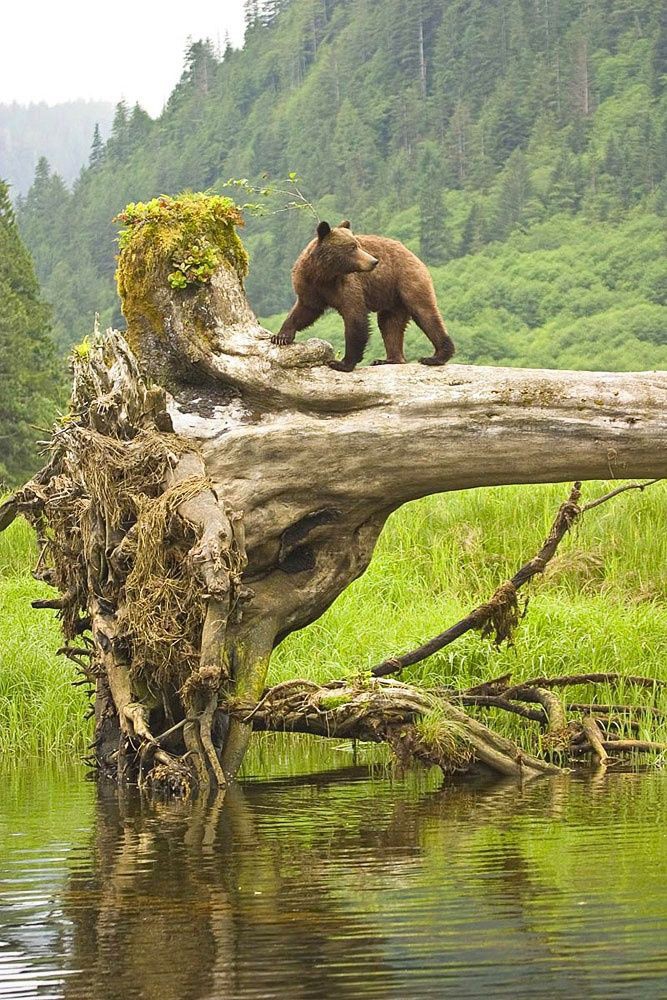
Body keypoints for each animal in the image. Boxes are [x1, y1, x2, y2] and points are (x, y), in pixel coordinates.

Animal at [271, 220, 455, 372]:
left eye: (358, 245)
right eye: (352, 247)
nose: (374, 261)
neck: (324, 275)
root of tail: (410, 252)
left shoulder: (346, 286)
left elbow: (355, 318)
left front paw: (341, 363)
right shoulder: (309, 286)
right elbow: (305, 310)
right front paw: (281, 336)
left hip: (407, 280)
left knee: (424, 312)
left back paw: (436, 356)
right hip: (392, 298)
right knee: (390, 325)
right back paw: (389, 359)